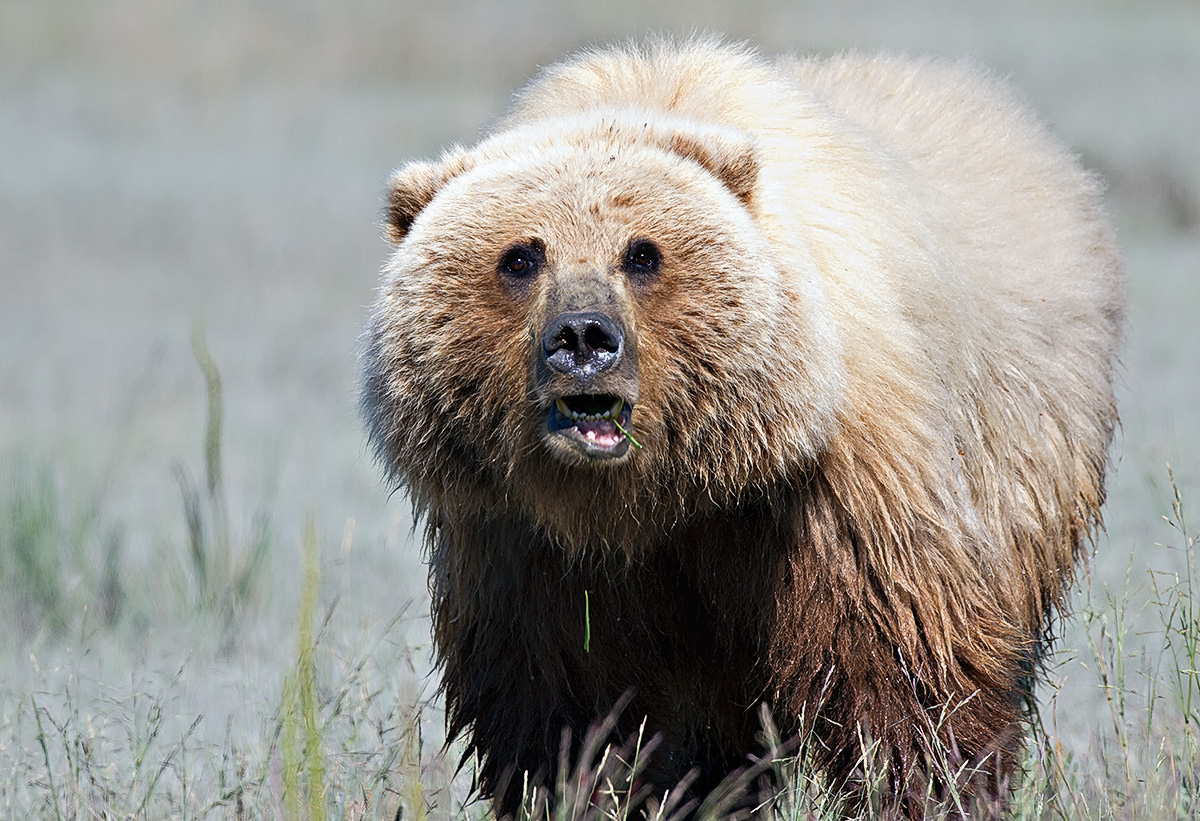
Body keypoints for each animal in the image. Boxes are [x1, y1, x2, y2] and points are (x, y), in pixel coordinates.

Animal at [360, 37, 1123, 818]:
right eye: (520, 255)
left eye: (642, 252)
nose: (582, 336)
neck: (657, 500)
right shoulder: (522, 543)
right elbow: (565, 705)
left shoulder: (832, 496)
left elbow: (900, 672)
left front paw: (925, 785)